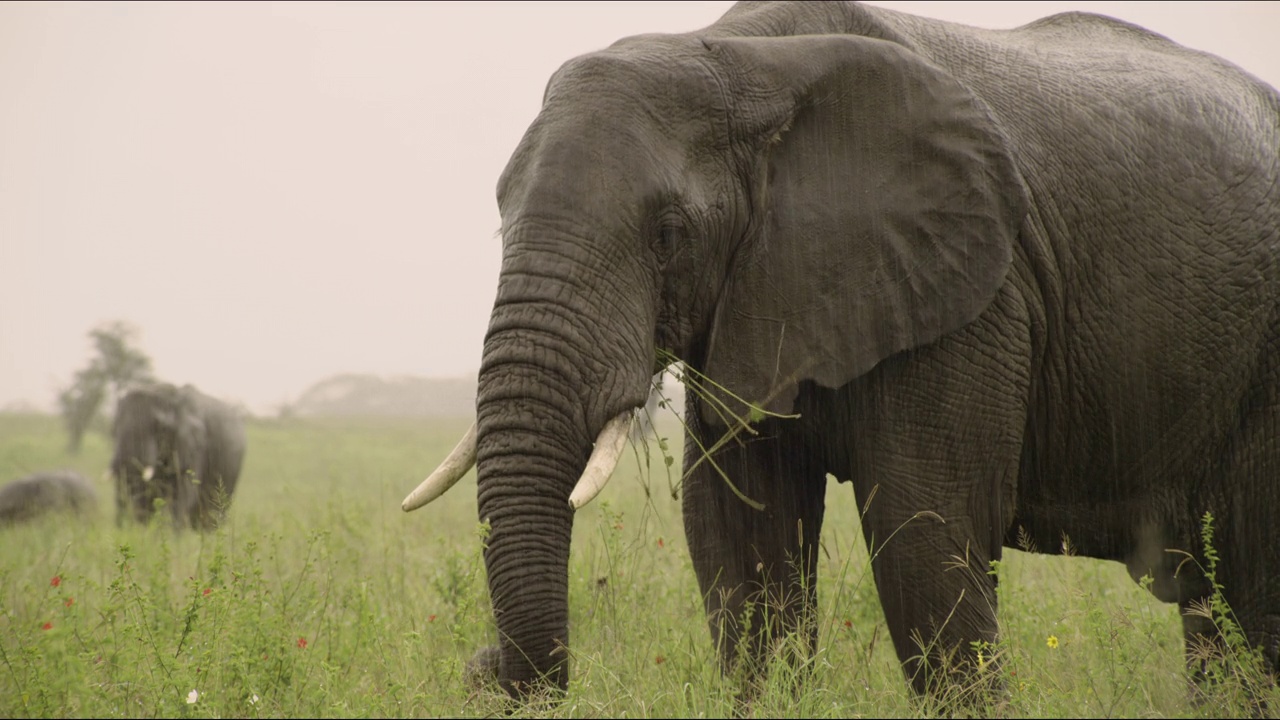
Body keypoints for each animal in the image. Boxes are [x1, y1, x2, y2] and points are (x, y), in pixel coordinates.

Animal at [401, 0, 1280, 702]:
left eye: (667, 236)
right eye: (500, 216)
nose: (485, 668)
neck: (739, 59)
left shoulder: (974, 293)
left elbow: (924, 530)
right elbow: (739, 539)